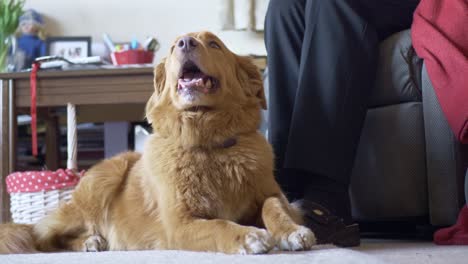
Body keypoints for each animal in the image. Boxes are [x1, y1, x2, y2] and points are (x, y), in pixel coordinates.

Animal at [0, 32, 316, 255]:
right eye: (175, 45)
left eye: (214, 44)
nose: (185, 43)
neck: (209, 143)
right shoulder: (180, 225)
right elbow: (219, 226)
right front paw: (247, 235)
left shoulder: (274, 194)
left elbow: (273, 206)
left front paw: (290, 231)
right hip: (101, 182)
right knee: (44, 239)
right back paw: (89, 241)